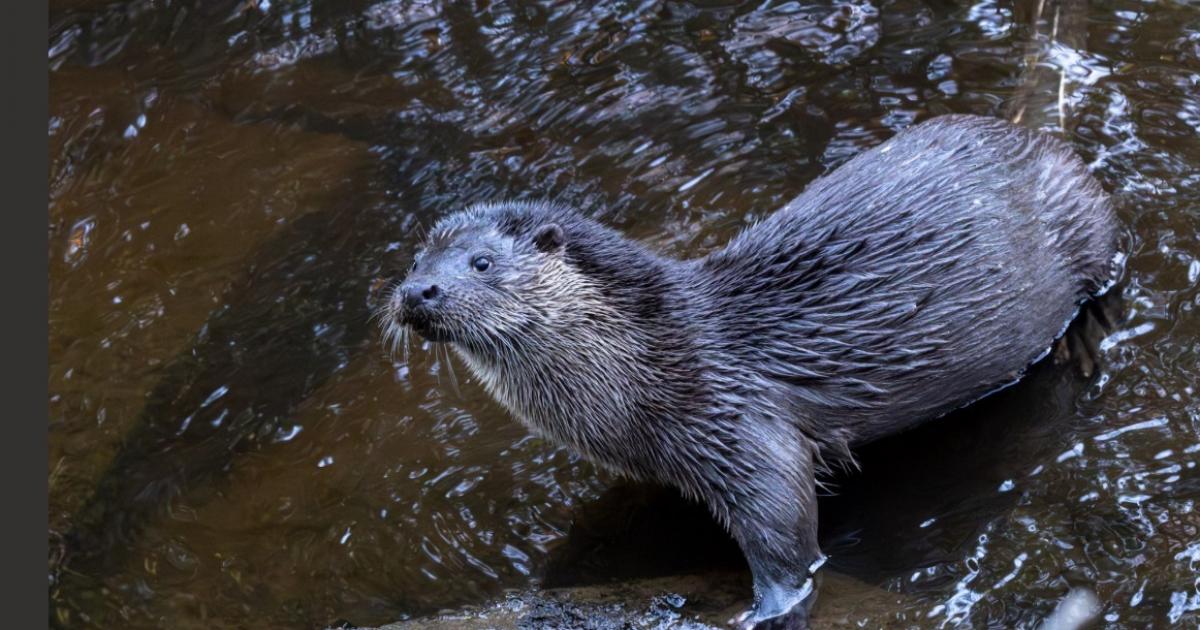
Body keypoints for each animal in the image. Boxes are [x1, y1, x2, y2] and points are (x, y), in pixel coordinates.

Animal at [379, 114, 1120, 629]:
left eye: (480, 263)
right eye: (416, 258)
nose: (417, 292)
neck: (654, 365)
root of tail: (1034, 137)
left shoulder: (742, 427)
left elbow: (786, 535)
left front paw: (770, 608)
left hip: (1082, 215)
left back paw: (1082, 338)